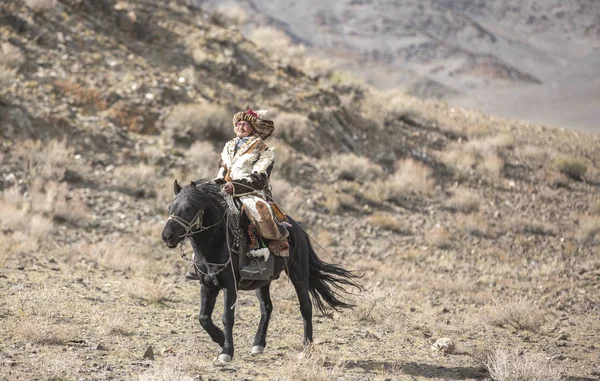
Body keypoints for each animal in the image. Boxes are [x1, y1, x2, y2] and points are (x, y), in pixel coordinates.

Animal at [161, 180, 360, 360]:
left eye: (189, 207)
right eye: (170, 207)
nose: (167, 236)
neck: (216, 244)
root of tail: (298, 229)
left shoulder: (230, 286)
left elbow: (227, 317)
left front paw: (227, 351)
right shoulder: (207, 285)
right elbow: (203, 318)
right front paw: (220, 339)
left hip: (298, 275)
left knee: (305, 307)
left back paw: (306, 348)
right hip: (262, 282)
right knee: (267, 308)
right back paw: (258, 344)